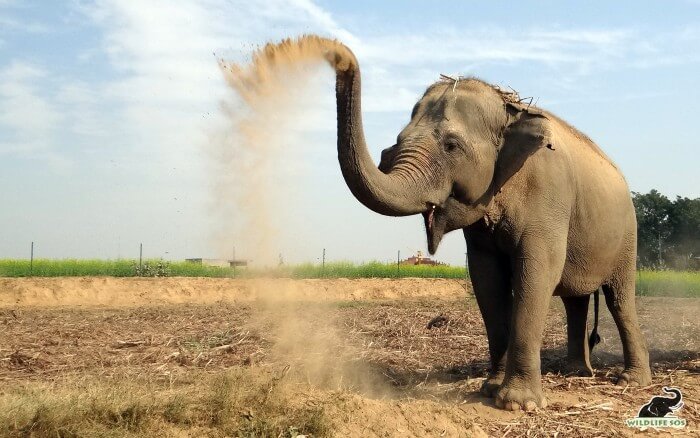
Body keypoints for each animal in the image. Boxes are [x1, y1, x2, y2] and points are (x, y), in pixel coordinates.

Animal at [320, 36, 652, 410]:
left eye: (451, 145)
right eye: (398, 142)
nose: (337, 53)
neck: (510, 111)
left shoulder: (549, 195)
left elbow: (537, 272)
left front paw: (518, 403)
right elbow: (486, 279)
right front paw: (490, 389)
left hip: (628, 234)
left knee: (618, 298)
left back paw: (631, 379)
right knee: (575, 299)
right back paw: (576, 372)